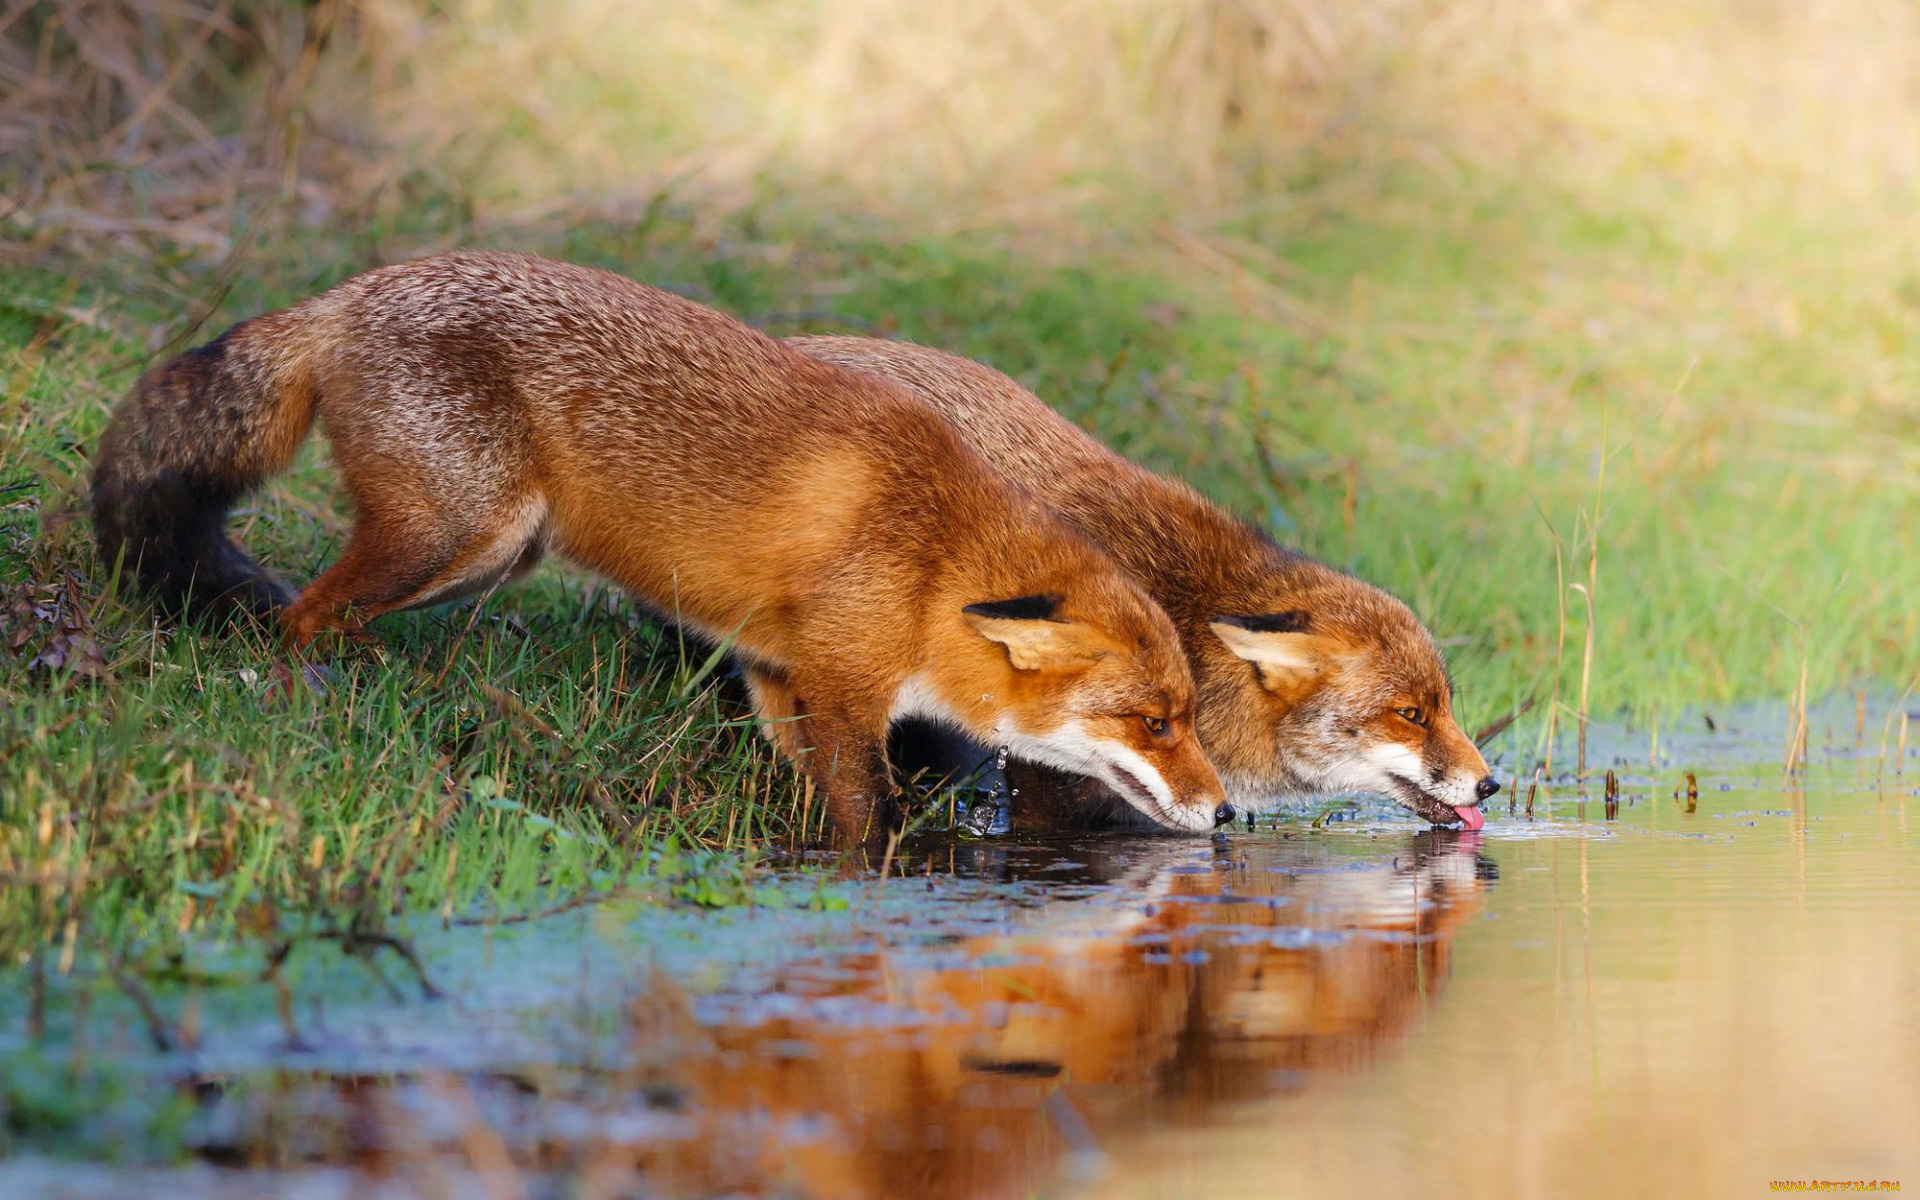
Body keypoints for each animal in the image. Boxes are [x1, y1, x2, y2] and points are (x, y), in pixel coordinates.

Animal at [86, 247, 1228, 837]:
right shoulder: (846, 688)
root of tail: (352, 290)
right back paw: (316, 702)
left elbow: (809, 784)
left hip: (489, 553)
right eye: (1153, 722)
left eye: (1188, 716)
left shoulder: (778, 671)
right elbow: (868, 815)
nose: (1226, 818)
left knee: (320, 613)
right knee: (300, 616)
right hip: (456, 534)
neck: (929, 560)